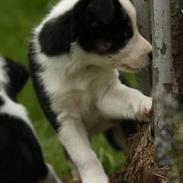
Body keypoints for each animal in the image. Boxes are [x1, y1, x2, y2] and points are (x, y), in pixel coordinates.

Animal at [29, 0, 153, 182]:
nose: (152, 53)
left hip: (119, 131)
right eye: (124, 35)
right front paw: (95, 178)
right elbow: (84, 155)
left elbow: (130, 95)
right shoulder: (65, 118)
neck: (83, 66)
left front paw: (147, 103)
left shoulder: (106, 93)